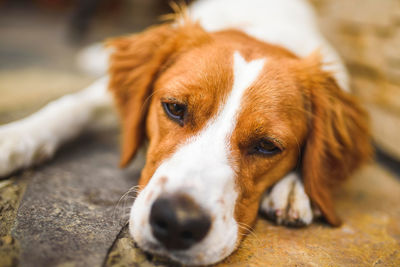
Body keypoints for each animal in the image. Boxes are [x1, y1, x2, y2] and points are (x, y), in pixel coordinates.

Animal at [0, 0, 372, 266]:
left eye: (267, 146)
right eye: (175, 108)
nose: (178, 224)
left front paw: (294, 188)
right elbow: (69, 106)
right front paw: (14, 138)